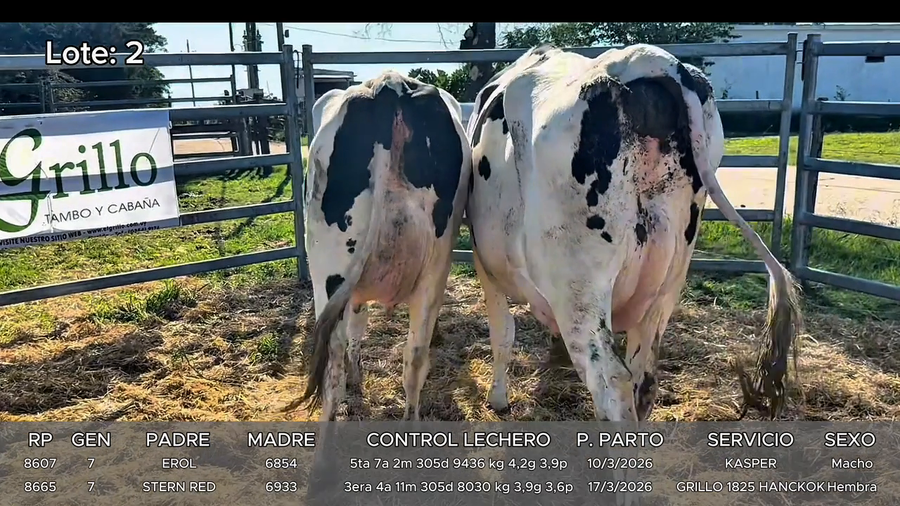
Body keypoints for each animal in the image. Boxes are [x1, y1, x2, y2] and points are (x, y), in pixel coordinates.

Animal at [294, 71, 472, 423]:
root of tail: (390, 85)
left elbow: (356, 327)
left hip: (327, 270)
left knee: (334, 360)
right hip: (431, 268)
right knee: (414, 355)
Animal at [465, 43, 802, 426]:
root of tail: (646, 61)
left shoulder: (485, 262)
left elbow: (502, 333)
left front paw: (498, 399)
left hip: (579, 284)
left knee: (612, 381)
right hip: (668, 279)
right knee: (644, 379)